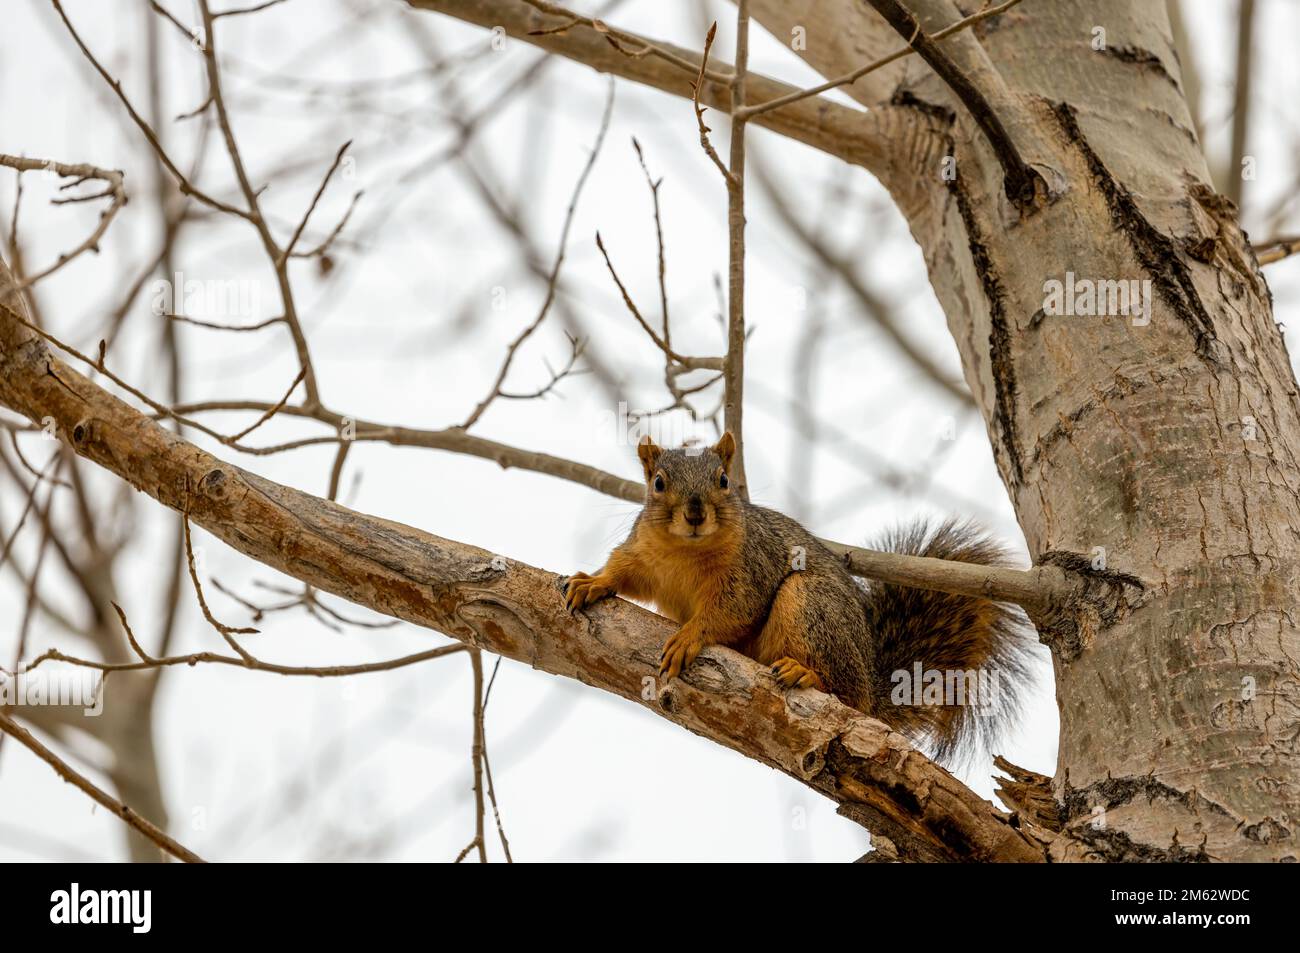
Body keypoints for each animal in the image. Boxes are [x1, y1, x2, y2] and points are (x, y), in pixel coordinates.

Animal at [565, 432, 1034, 763]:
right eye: (659, 483)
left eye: (723, 480)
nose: (695, 512)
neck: (687, 550)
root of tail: (872, 680)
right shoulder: (642, 554)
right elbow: (623, 571)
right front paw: (592, 581)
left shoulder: (749, 572)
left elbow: (729, 612)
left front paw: (689, 636)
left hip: (809, 602)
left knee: (845, 694)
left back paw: (805, 673)